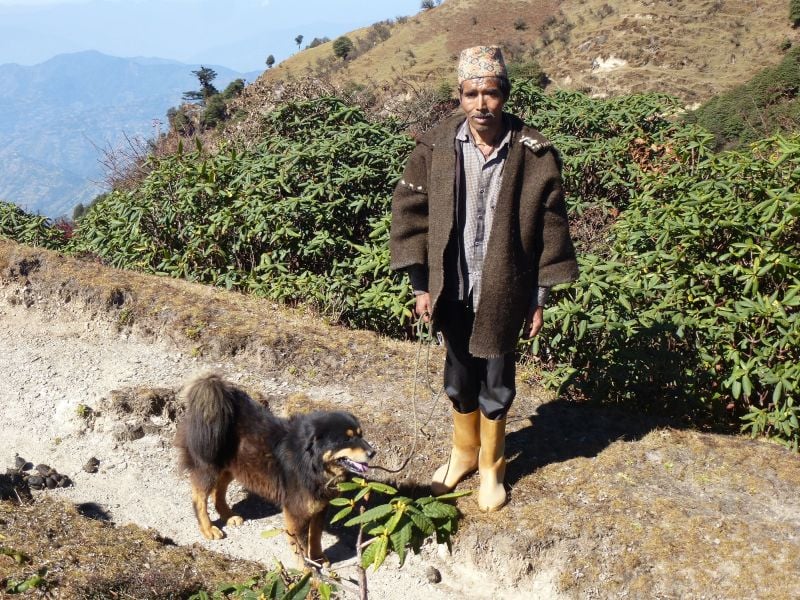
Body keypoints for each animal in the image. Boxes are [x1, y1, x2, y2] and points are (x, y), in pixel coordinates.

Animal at [173, 372, 374, 564]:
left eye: (361, 435)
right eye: (347, 439)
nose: (373, 452)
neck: (311, 462)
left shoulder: (319, 508)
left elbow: (315, 537)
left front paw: (317, 558)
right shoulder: (297, 514)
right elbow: (301, 548)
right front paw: (308, 571)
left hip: (236, 467)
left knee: (218, 491)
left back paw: (228, 515)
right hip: (209, 467)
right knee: (199, 499)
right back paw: (208, 529)